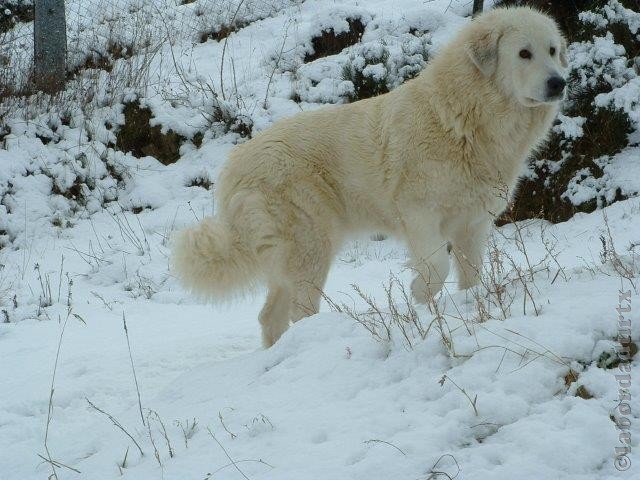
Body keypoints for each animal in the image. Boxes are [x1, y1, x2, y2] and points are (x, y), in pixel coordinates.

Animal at [172, 6, 568, 344]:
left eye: (552, 50)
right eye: (524, 53)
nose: (559, 83)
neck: (462, 116)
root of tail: (232, 167)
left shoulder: (472, 224)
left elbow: (471, 275)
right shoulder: (419, 214)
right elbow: (437, 265)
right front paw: (420, 295)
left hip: (291, 255)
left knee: (270, 317)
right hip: (311, 246)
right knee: (300, 310)